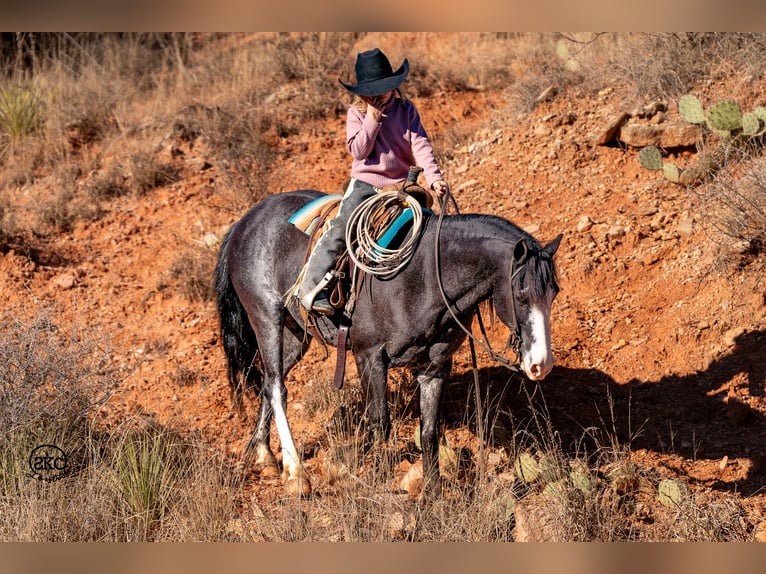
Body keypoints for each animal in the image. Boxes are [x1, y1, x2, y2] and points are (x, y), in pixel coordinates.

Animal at [216, 191, 564, 498]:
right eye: (521, 294)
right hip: (266, 315)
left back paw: (265, 456)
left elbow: (429, 432)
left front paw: (433, 495)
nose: (541, 365)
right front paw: (351, 468)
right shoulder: (369, 358)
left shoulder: (434, 367)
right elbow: (379, 424)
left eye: (554, 293)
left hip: (294, 334)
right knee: (277, 388)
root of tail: (245, 220)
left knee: (269, 381)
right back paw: (297, 475)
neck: (423, 278)